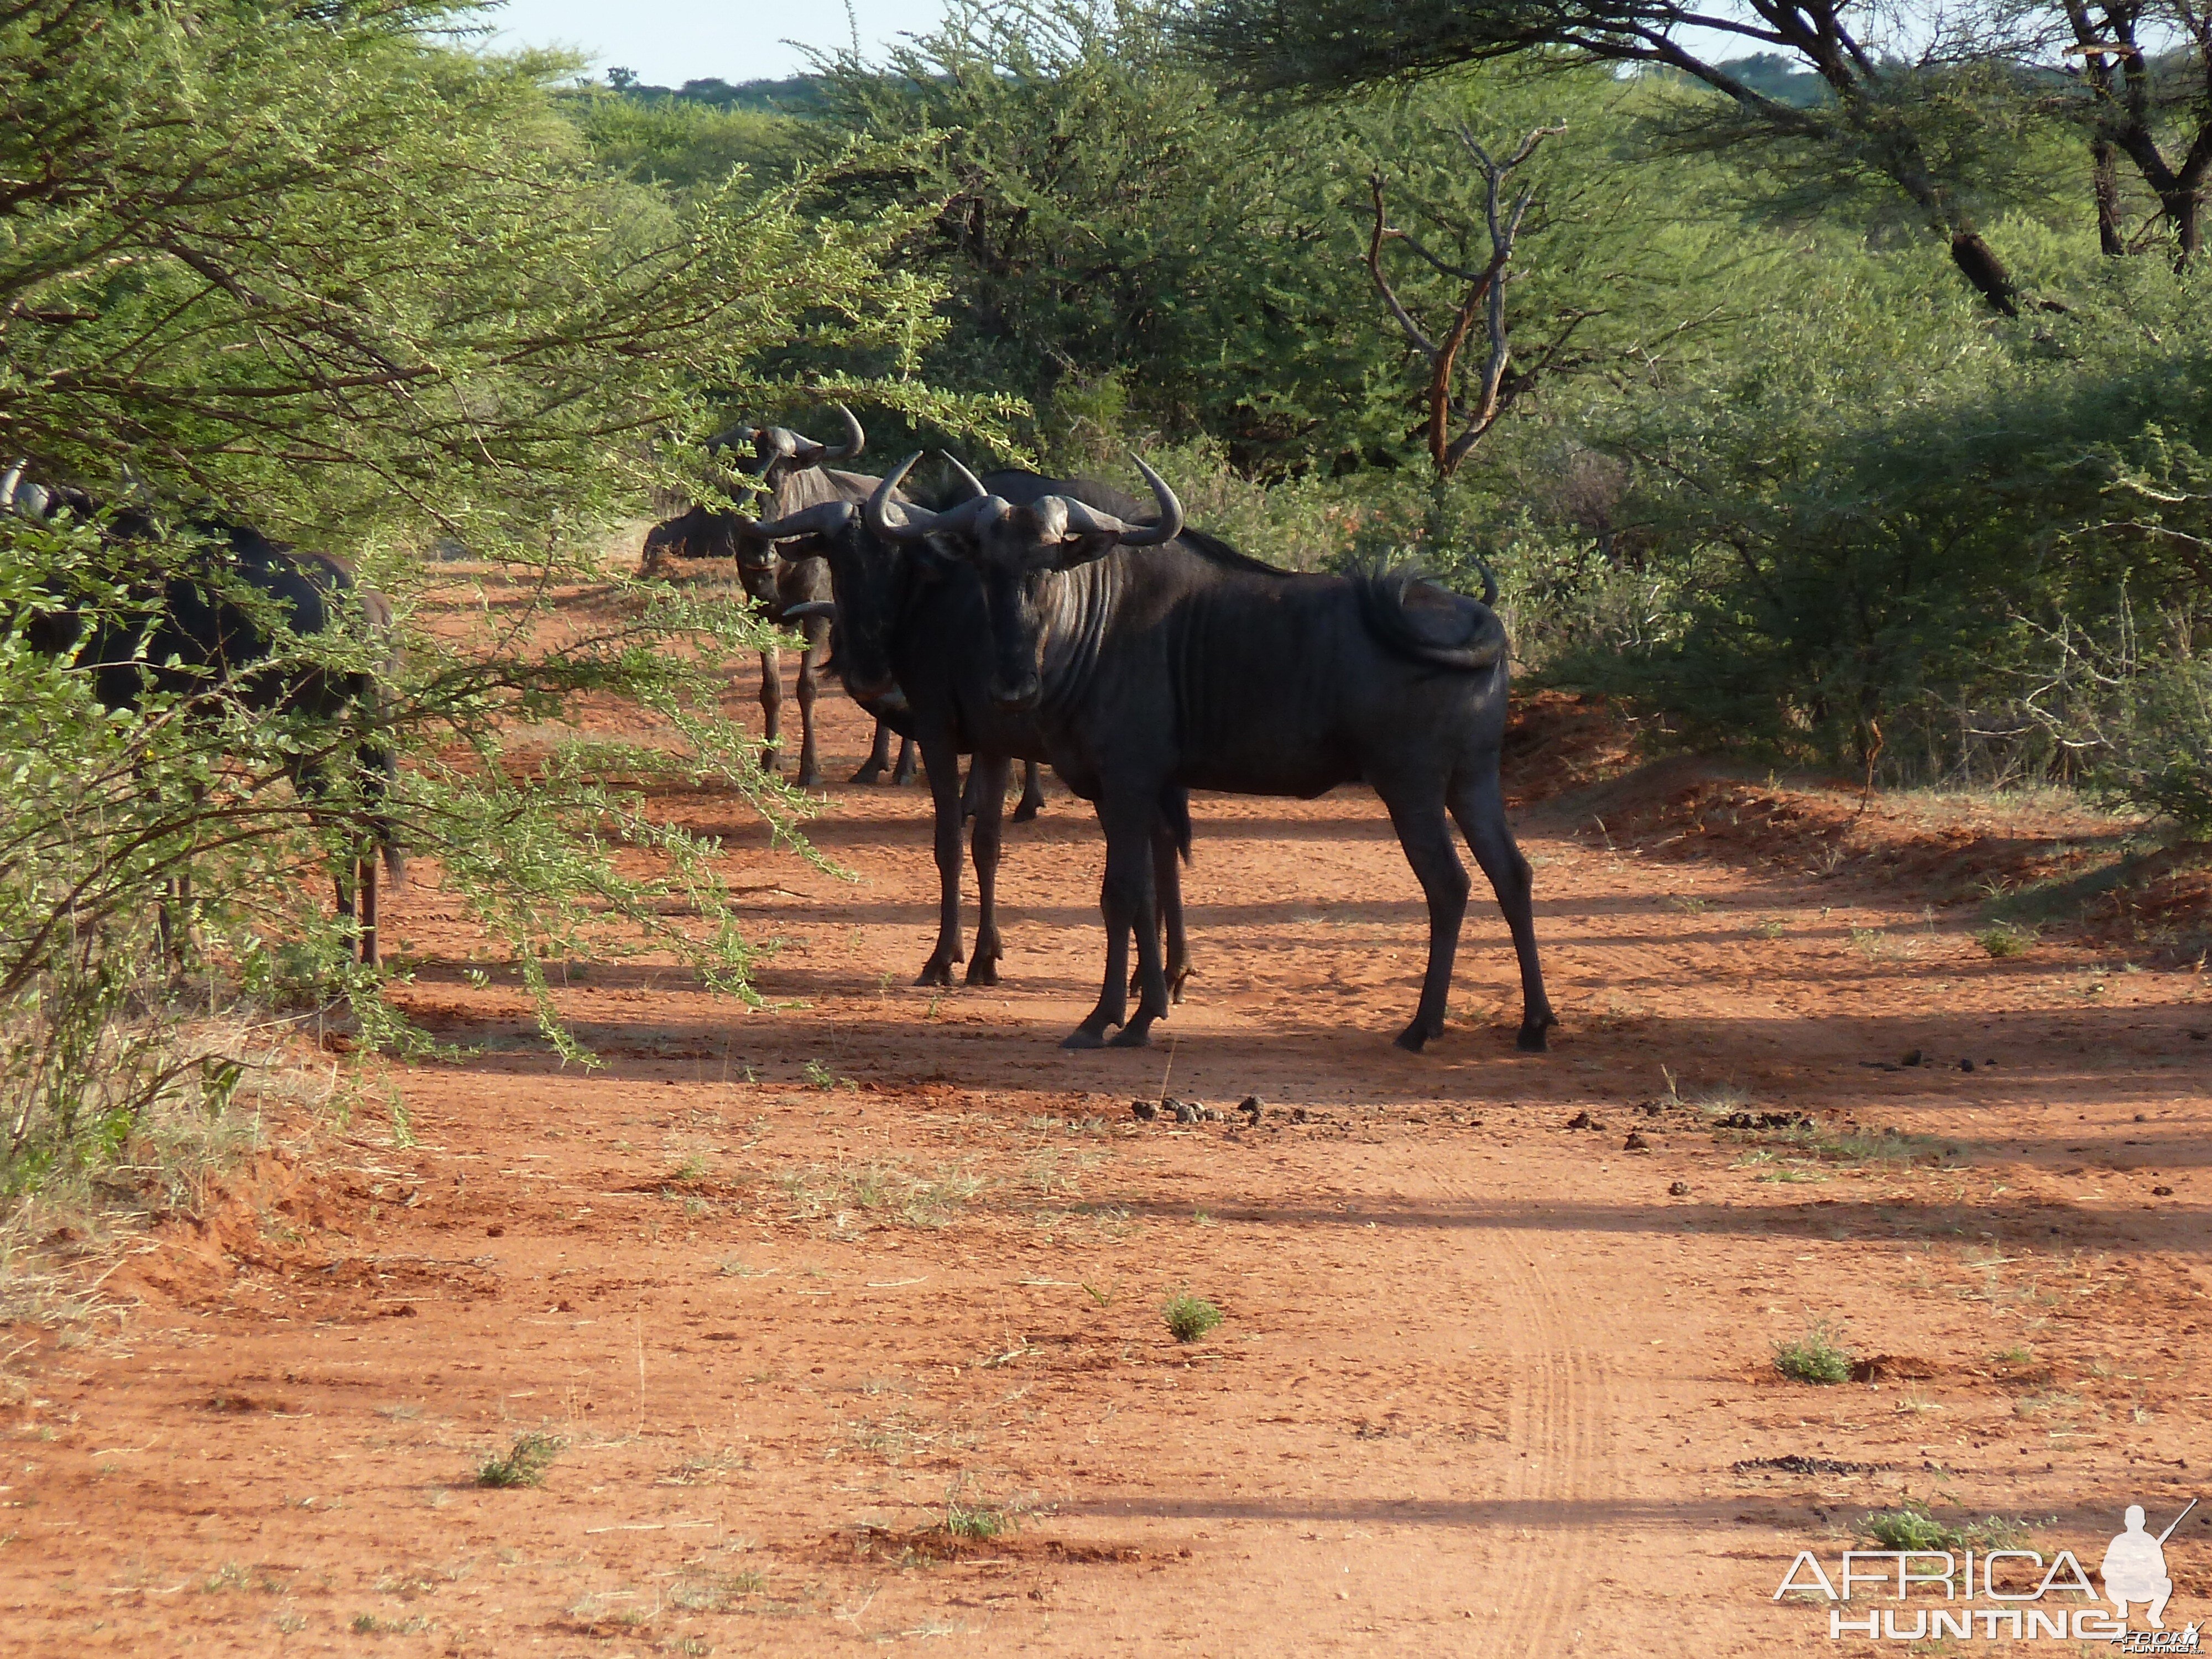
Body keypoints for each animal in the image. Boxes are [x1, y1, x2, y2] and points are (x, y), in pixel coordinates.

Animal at [863, 456, 1557, 1053]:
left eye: (1049, 565)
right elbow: (1146, 894)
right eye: (986, 569)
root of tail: (1483, 624)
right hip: (1471, 782)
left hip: (1411, 787)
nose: (1011, 688)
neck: (1101, 621)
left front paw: (1102, 1019)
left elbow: (1119, 895)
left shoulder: (1128, 782)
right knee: (1512, 874)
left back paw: (1422, 1026)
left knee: (1449, 885)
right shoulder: (1123, 792)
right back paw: (1534, 1024)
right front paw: (1145, 1013)